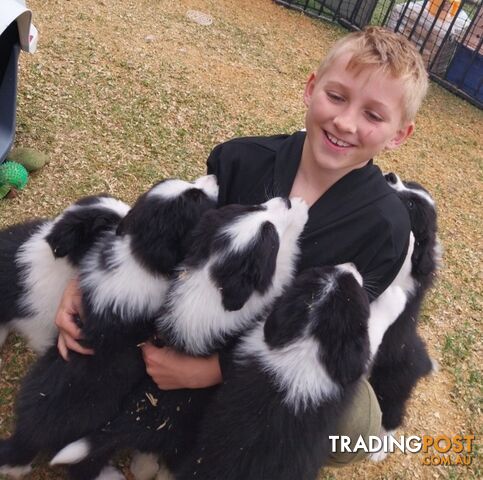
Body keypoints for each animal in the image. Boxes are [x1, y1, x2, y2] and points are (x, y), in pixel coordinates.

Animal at [50, 196, 310, 480]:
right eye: (270, 237)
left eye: (252, 206)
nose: (286, 199)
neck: (209, 283)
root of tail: (130, 422)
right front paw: (299, 210)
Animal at [368, 172, 440, 458]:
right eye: (409, 186)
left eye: (410, 206)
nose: (390, 176)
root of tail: (420, 360)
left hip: (389, 383)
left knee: (392, 413)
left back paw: (379, 449)